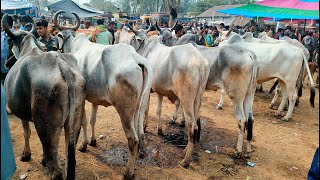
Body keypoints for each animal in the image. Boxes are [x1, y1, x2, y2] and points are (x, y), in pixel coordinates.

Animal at [1, 14, 86, 180]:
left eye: (8, 42)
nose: (6, 64)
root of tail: (63, 67)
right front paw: (42, 159)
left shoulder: (23, 114)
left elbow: (26, 132)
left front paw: (26, 155)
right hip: (74, 122)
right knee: (69, 160)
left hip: (46, 125)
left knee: (57, 167)